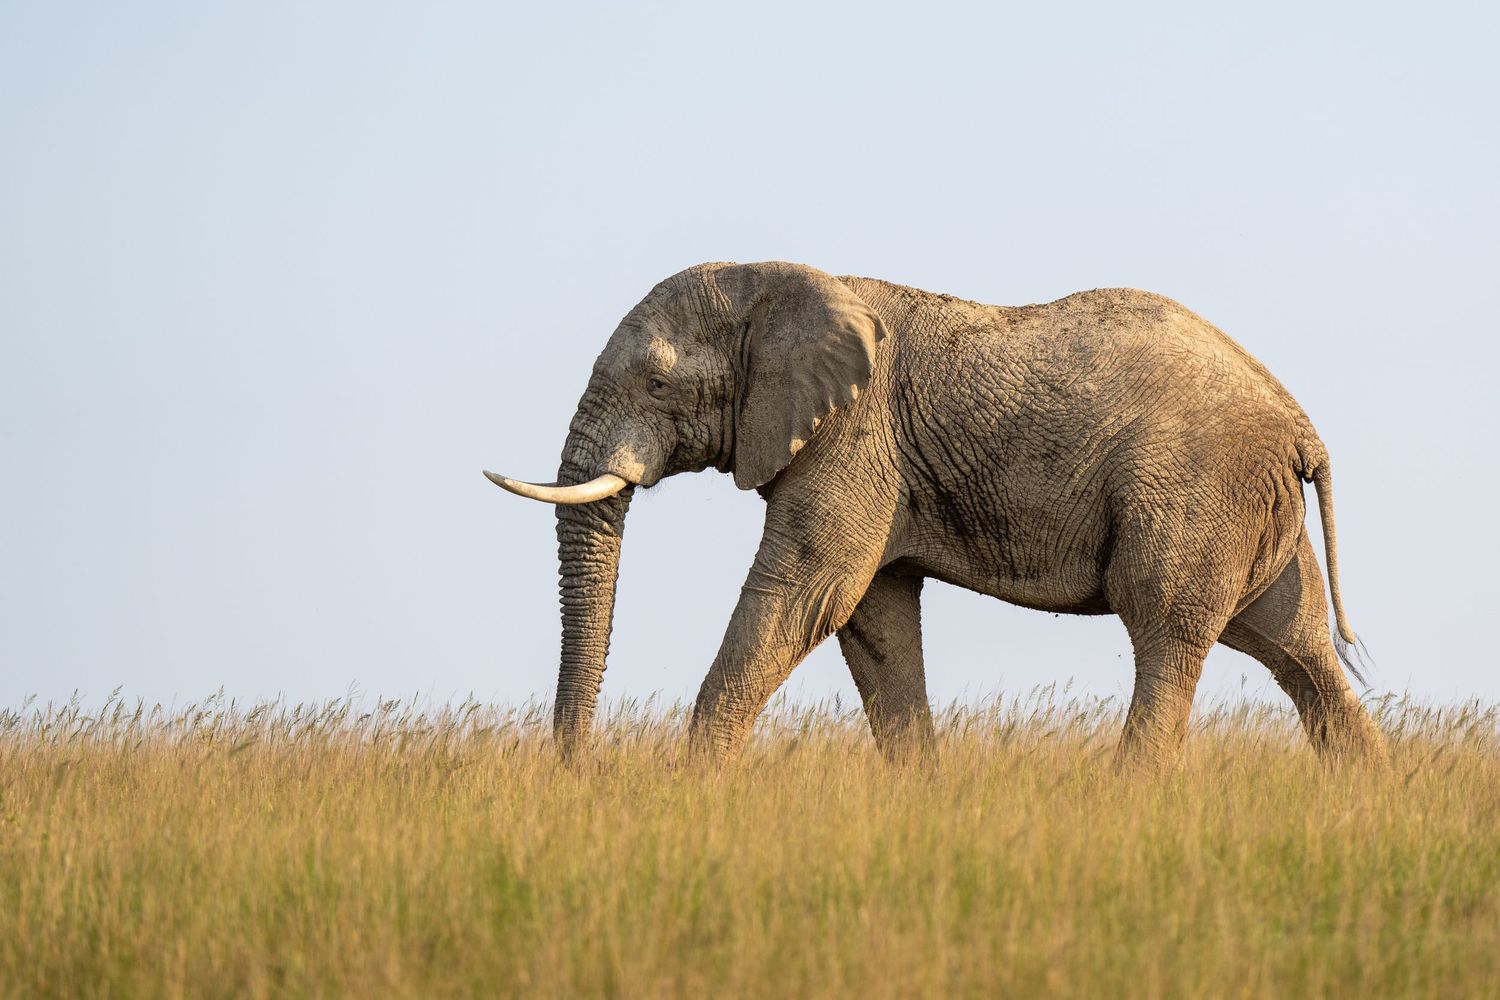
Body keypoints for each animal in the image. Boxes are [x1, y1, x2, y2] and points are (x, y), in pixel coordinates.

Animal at [485, 261, 1387, 768]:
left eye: (658, 383)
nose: (582, 775)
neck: (774, 280)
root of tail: (1300, 426)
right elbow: (872, 619)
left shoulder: (855, 438)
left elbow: (807, 593)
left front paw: (693, 790)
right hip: (1253, 513)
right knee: (1296, 649)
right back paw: (1366, 799)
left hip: (1196, 494)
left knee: (1168, 631)